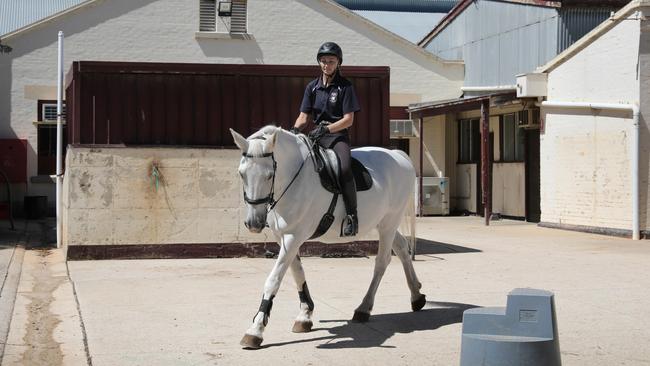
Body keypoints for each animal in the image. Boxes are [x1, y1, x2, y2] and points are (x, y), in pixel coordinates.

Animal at [229, 126, 426, 348]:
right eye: (241, 174)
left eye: (270, 175)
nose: (254, 223)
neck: (294, 179)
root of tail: (398, 156)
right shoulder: (284, 238)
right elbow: (297, 273)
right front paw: (305, 316)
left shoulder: (294, 236)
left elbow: (274, 279)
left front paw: (255, 330)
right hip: (382, 224)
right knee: (401, 247)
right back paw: (416, 296)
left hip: (389, 222)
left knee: (382, 262)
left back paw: (364, 308)